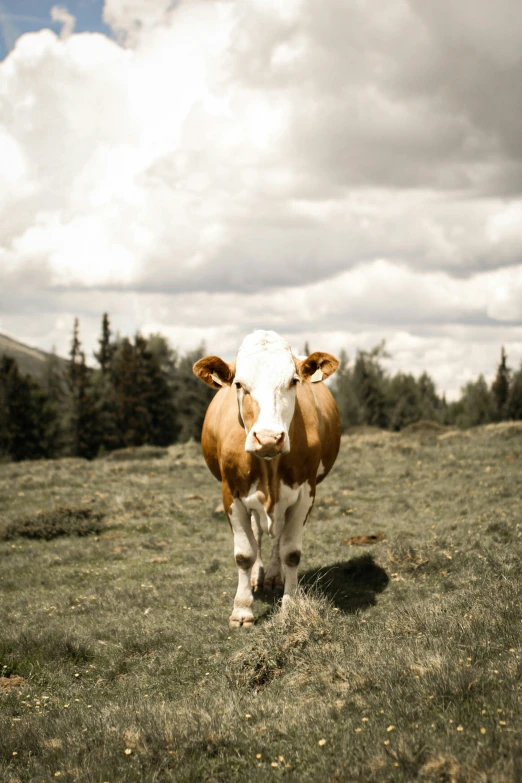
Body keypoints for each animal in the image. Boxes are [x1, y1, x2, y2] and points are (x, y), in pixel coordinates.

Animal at [193, 330, 340, 632]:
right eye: (239, 384)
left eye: (293, 380)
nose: (269, 438)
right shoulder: (230, 494)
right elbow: (244, 554)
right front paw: (242, 610)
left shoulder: (306, 492)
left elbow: (291, 552)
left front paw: (290, 606)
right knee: (257, 533)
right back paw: (256, 577)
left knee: (277, 536)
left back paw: (272, 575)